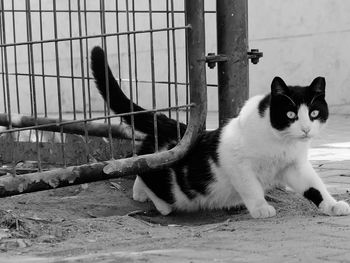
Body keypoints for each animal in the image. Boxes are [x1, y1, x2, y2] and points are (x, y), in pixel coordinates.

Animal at [91, 46, 350, 220]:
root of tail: (175, 125)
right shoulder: (237, 163)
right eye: (290, 115)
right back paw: (160, 204)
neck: (280, 143)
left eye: (314, 113)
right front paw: (260, 208)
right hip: (173, 182)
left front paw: (333, 205)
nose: (306, 129)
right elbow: (251, 186)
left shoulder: (295, 165)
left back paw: (140, 193)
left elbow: (314, 186)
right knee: (142, 167)